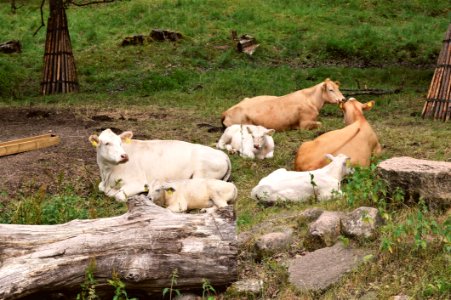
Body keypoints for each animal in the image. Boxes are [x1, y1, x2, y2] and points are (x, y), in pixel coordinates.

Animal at [88, 128, 231, 202]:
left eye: (120, 142)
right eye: (107, 143)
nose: (124, 156)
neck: (107, 173)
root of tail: (223, 155)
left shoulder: (138, 182)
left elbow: (118, 196)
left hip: (201, 175)